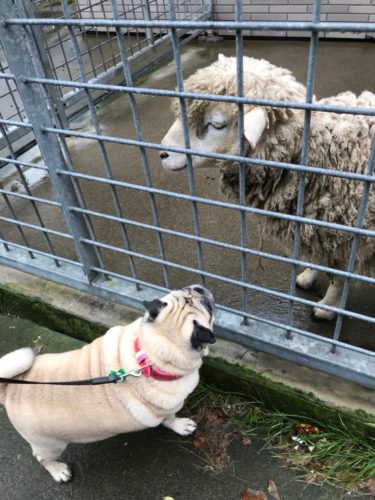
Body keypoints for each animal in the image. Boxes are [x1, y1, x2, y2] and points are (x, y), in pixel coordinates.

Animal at [0, 284, 214, 482]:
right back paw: (58, 471)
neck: (150, 355)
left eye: (184, 289)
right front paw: (181, 426)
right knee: (42, 458)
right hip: (50, 445)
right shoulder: (167, 409)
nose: (199, 288)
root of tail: (10, 389)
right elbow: (170, 419)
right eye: (208, 307)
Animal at [160, 54, 374, 320]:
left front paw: (327, 307)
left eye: (216, 124)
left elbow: (339, 278)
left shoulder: (346, 238)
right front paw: (308, 276)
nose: (162, 153)